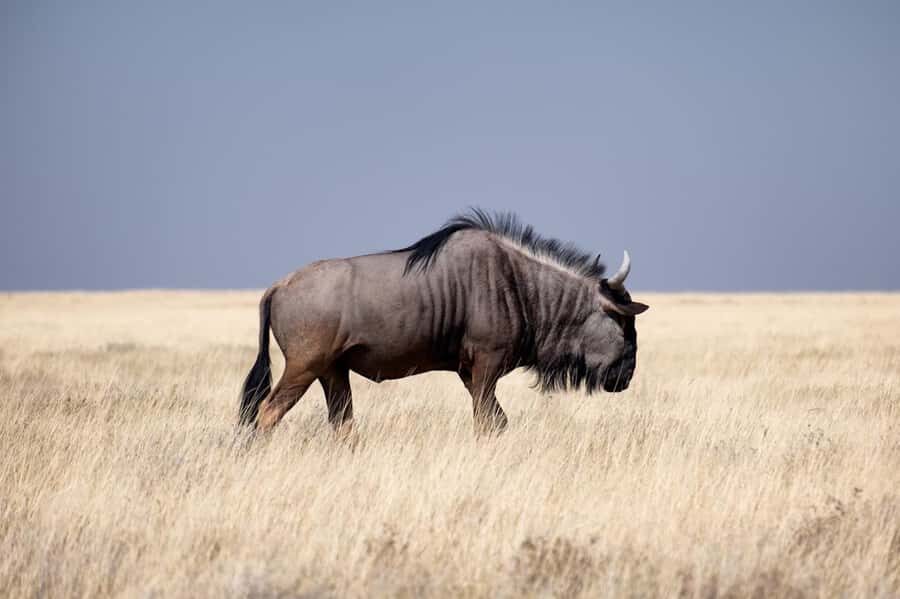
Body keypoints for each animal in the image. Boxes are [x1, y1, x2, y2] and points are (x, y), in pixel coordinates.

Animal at [240, 210, 649, 434]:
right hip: (304, 367)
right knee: (267, 413)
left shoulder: (469, 373)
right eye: (626, 328)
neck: (518, 283)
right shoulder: (486, 367)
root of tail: (278, 285)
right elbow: (485, 424)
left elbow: (498, 423)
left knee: (342, 425)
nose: (626, 377)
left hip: (332, 371)